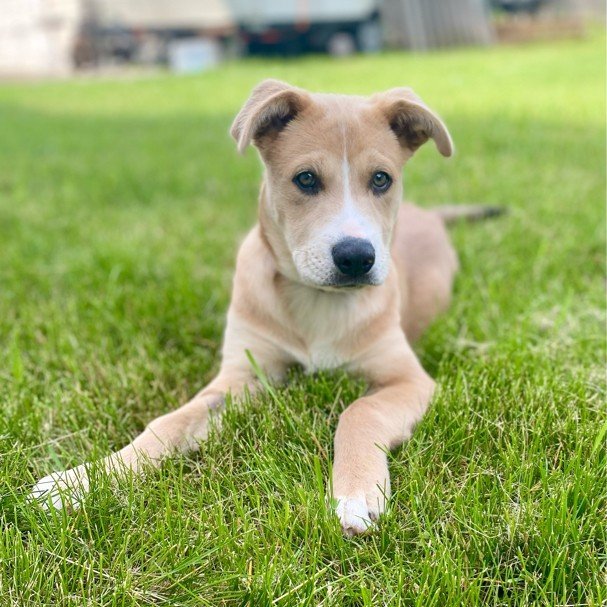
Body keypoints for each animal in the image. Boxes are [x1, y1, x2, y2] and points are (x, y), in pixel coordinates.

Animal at [33, 81, 472, 536]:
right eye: (306, 179)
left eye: (382, 179)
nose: (355, 257)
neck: (318, 302)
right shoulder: (243, 375)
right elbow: (169, 423)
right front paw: (81, 481)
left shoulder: (410, 380)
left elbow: (360, 410)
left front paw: (356, 493)